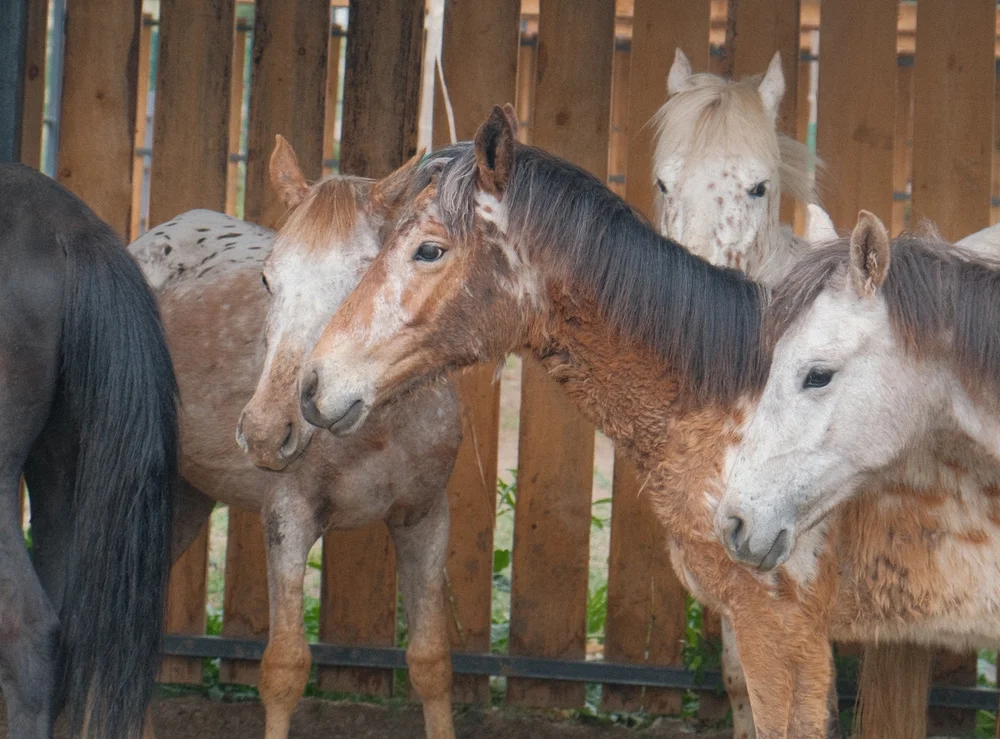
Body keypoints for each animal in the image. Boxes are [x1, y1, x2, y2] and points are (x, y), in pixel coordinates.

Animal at [130, 138, 462, 739]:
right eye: (267, 280)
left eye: (363, 275)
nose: (265, 432)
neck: (379, 426)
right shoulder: (288, 518)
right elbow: (284, 669)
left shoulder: (424, 518)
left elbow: (431, 663)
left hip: (185, 498)